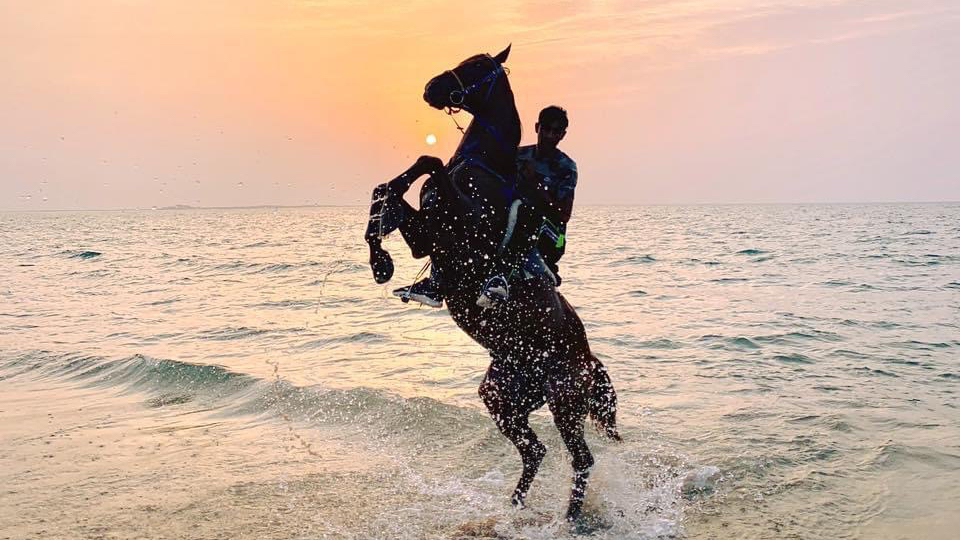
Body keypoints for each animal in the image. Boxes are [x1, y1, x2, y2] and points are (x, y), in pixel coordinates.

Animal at [365, 45, 621, 522]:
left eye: (478, 67)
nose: (430, 87)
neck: (481, 165)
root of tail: (589, 361)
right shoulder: (429, 237)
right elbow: (389, 189)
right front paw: (381, 263)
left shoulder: (463, 232)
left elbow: (427, 165)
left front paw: (385, 261)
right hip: (502, 397)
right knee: (535, 451)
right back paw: (516, 505)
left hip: (564, 400)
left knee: (581, 459)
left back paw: (569, 518)